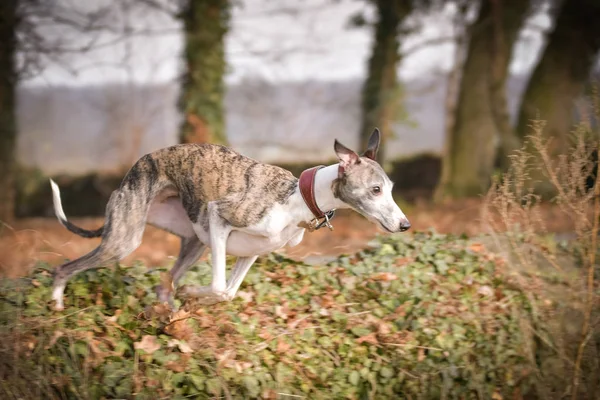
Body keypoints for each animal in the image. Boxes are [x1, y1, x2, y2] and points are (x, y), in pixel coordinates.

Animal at [49, 128, 410, 310]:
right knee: (64, 267)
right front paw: (194, 291)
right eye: (376, 189)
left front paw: (191, 294)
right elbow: (219, 287)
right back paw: (55, 305)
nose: (405, 225)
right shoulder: (219, 218)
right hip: (125, 241)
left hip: (193, 243)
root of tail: (129, 174)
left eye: (391, 187)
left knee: (164, 286)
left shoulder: (252, 252)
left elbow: (229, 292)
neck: (297, 199)